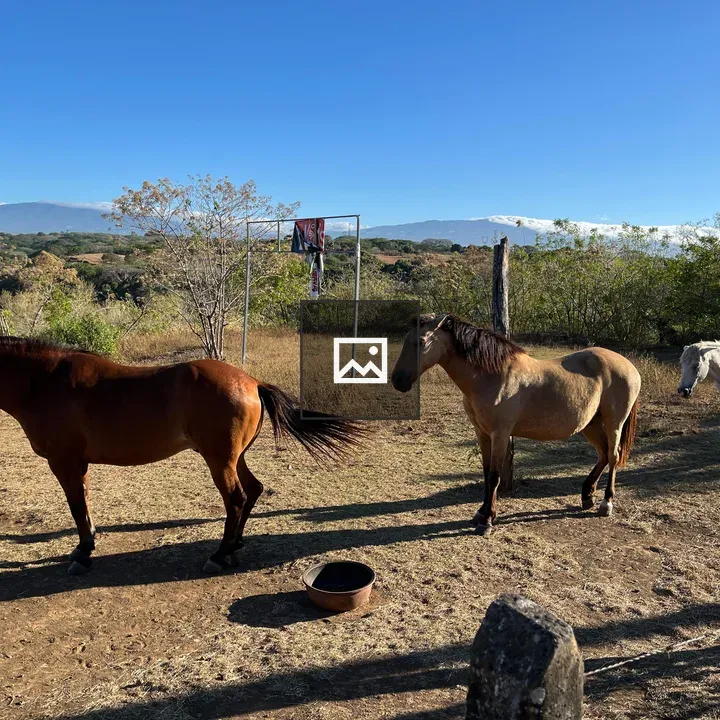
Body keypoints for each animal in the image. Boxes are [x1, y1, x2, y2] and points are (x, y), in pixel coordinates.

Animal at [0, 337, 364, 575]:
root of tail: (252, 382)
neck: (45, 382)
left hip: (219, 461)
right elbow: (85, 504)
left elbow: (77, 506)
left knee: (236, 498)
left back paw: (219, 554)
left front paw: (83, 554)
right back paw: (235, 547)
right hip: (234, 458)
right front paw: (86, 545)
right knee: (253, 491)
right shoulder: (78, 464)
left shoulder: (64, 462)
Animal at [391, 314, 641, 534]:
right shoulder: (482, 433)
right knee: (603, 455)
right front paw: (481, 513)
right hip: (590, 424)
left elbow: (495, 476)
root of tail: (629, 366)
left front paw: (487, 522)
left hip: (613, 422)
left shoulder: (500, 434)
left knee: (613, 456)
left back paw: (606, 503)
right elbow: (486, 472)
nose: (397, 380)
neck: (492, 376)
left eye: (421, 341)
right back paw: (587, 495)